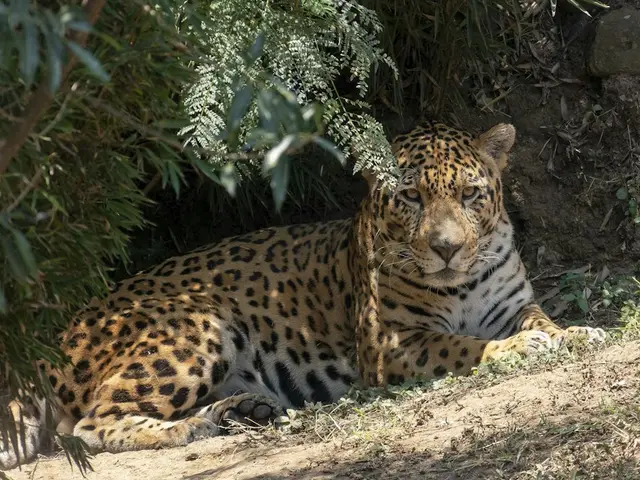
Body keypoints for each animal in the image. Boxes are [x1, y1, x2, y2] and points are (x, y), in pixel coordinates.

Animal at [0, 121, 606, 470]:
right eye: (411, 197)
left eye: (470, 195)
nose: (447, 248)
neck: (460, 283)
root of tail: (52, 338)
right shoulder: (390, 343)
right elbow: (462, 347)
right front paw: (521, 350)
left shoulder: (512, 305)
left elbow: (543, 319)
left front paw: (578, 332)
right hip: (198, 321)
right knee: (91, 425)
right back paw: (199, 426)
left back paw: (239, 412)